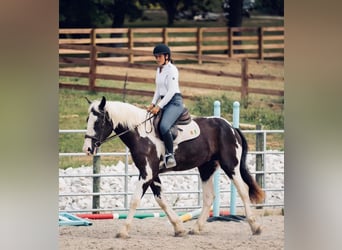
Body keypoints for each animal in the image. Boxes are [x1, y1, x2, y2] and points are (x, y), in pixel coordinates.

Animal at [82, 95, 264, 238]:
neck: (141, 134)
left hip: (230, 165)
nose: (87, 149)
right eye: (87, 120)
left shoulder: (147, 173)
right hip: (206, 168)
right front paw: (178, 228)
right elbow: (161, 199)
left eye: (98, 122)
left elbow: (135, 200)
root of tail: (231, 127)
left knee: (243, 190)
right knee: (209, 197)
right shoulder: (152, 174)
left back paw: (255, 226)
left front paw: (123, 231)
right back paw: (196, 228)